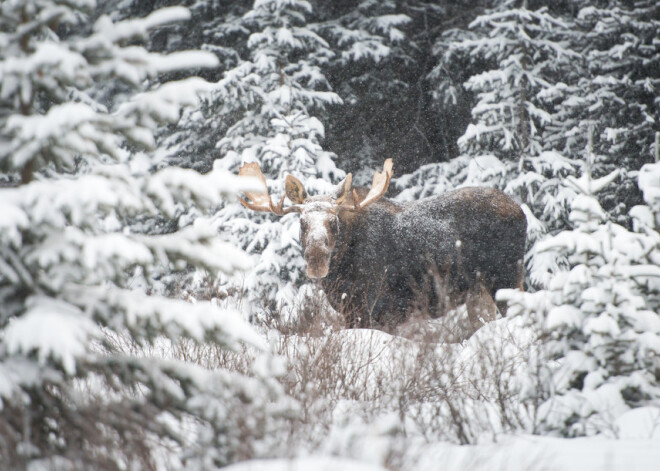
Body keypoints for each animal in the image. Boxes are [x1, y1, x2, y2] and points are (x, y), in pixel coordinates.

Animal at [237, 160, 524, 334]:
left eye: (333, 221)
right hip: (478, 290)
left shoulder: (374, 309)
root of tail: (521, 211)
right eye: (302, 222)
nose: (316, 259)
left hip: (507, 277)